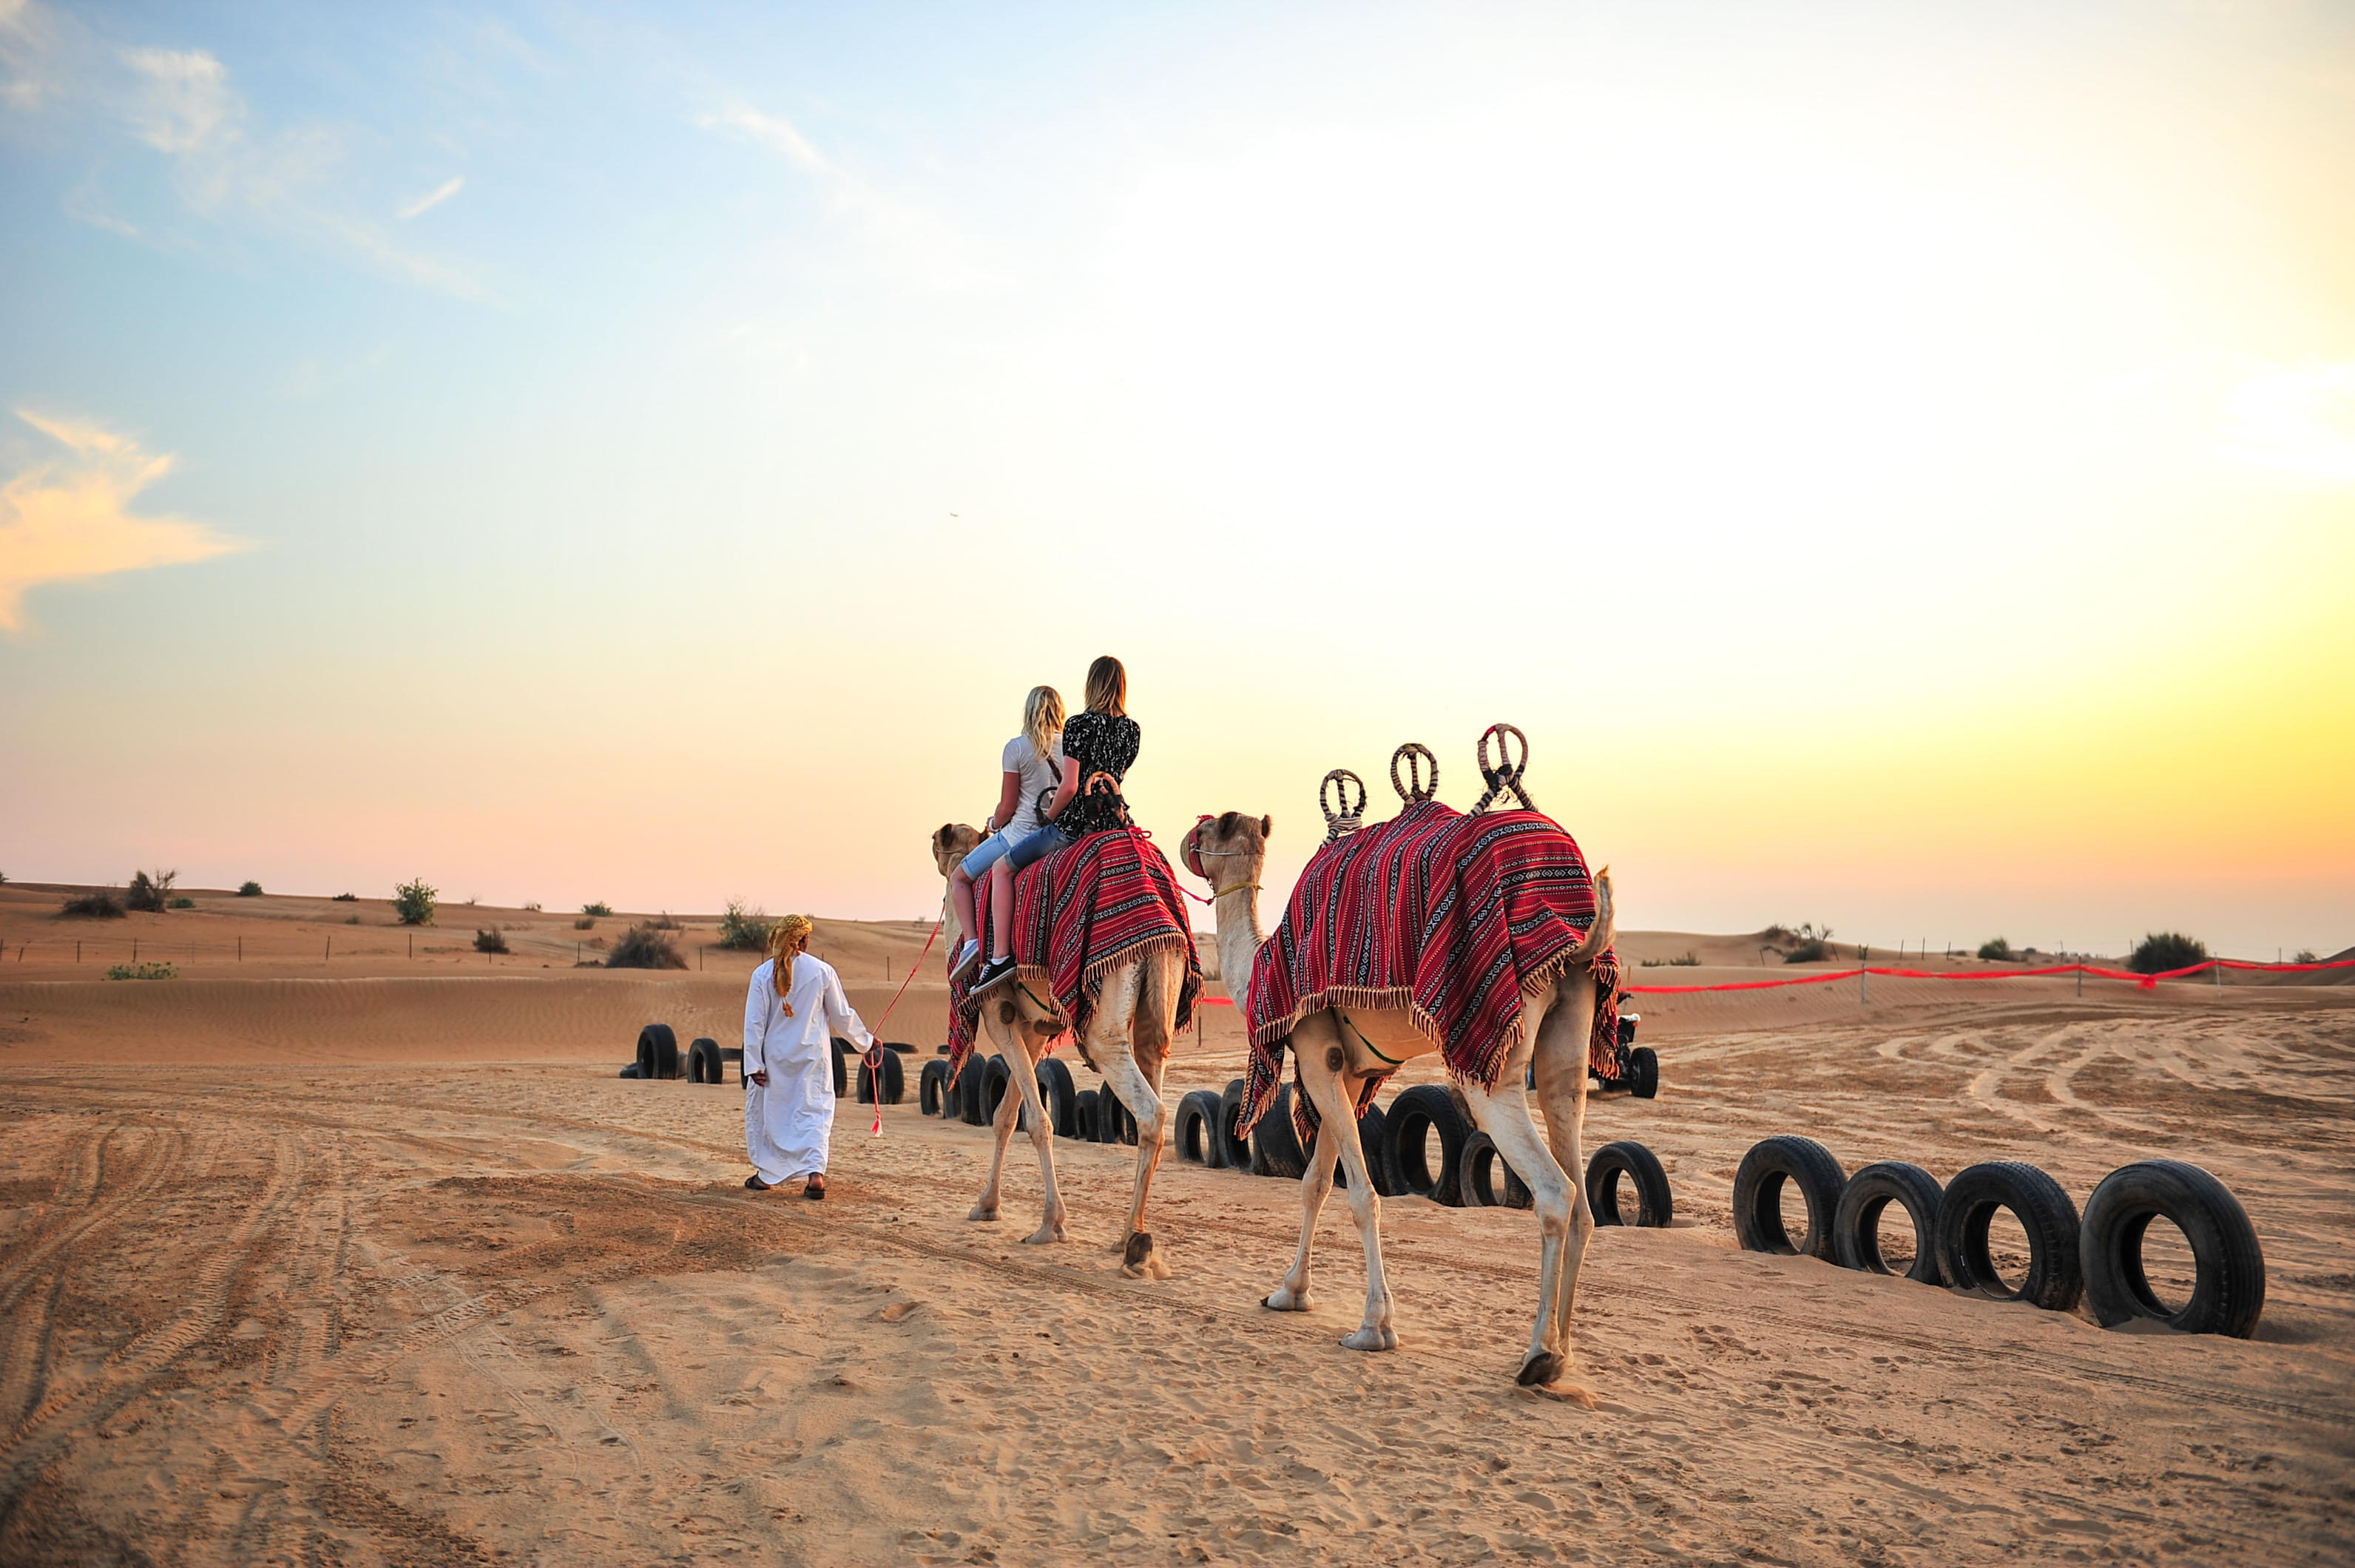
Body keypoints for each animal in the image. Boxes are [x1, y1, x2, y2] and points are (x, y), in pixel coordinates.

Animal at [928, 819, 1186, 1271]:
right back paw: (1131, 1236)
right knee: (1154, 1072)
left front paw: (1050, 1223)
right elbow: (1005, 1115)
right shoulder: (1033, 1028)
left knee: (1150, 1111)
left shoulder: (997, 1015)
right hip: (1160, 998)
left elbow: (1037, 1120)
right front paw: (987, 1205)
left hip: (1104, 1021)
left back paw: (1135, 1246)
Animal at [1186, 805, 1610, 1384]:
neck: (1259, 967)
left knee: (1555, 1191)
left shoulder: (1316, 1053)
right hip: (1567, 1031)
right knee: (1577, 1168)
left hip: (1496, 1051)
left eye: (1208, 828)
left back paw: (1537, 1355)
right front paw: (1289, 1293)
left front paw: (1374, 1327)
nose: (1186, 839)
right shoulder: (1347, 1073)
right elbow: (1316, 1183)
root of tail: (1578, 931)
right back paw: (1562, 1355)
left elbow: (1362, 1196)